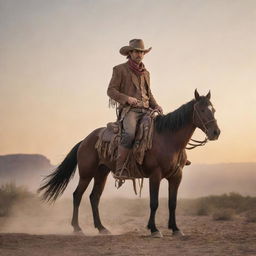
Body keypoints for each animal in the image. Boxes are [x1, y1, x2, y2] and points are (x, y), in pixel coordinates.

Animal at [38, 90, 220, 238]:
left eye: (213, 109)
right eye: (202, 110)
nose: (216, 132)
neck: (169, 140)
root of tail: (84, 141)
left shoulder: (176, 176)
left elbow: (172, 203)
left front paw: (175, 229)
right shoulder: (155, 175)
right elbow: (154, 202)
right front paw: (154, 229)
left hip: (101, 173)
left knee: (94, 197)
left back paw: (102, 228)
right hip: (86, 173)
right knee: (77, 195)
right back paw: (77, 228)